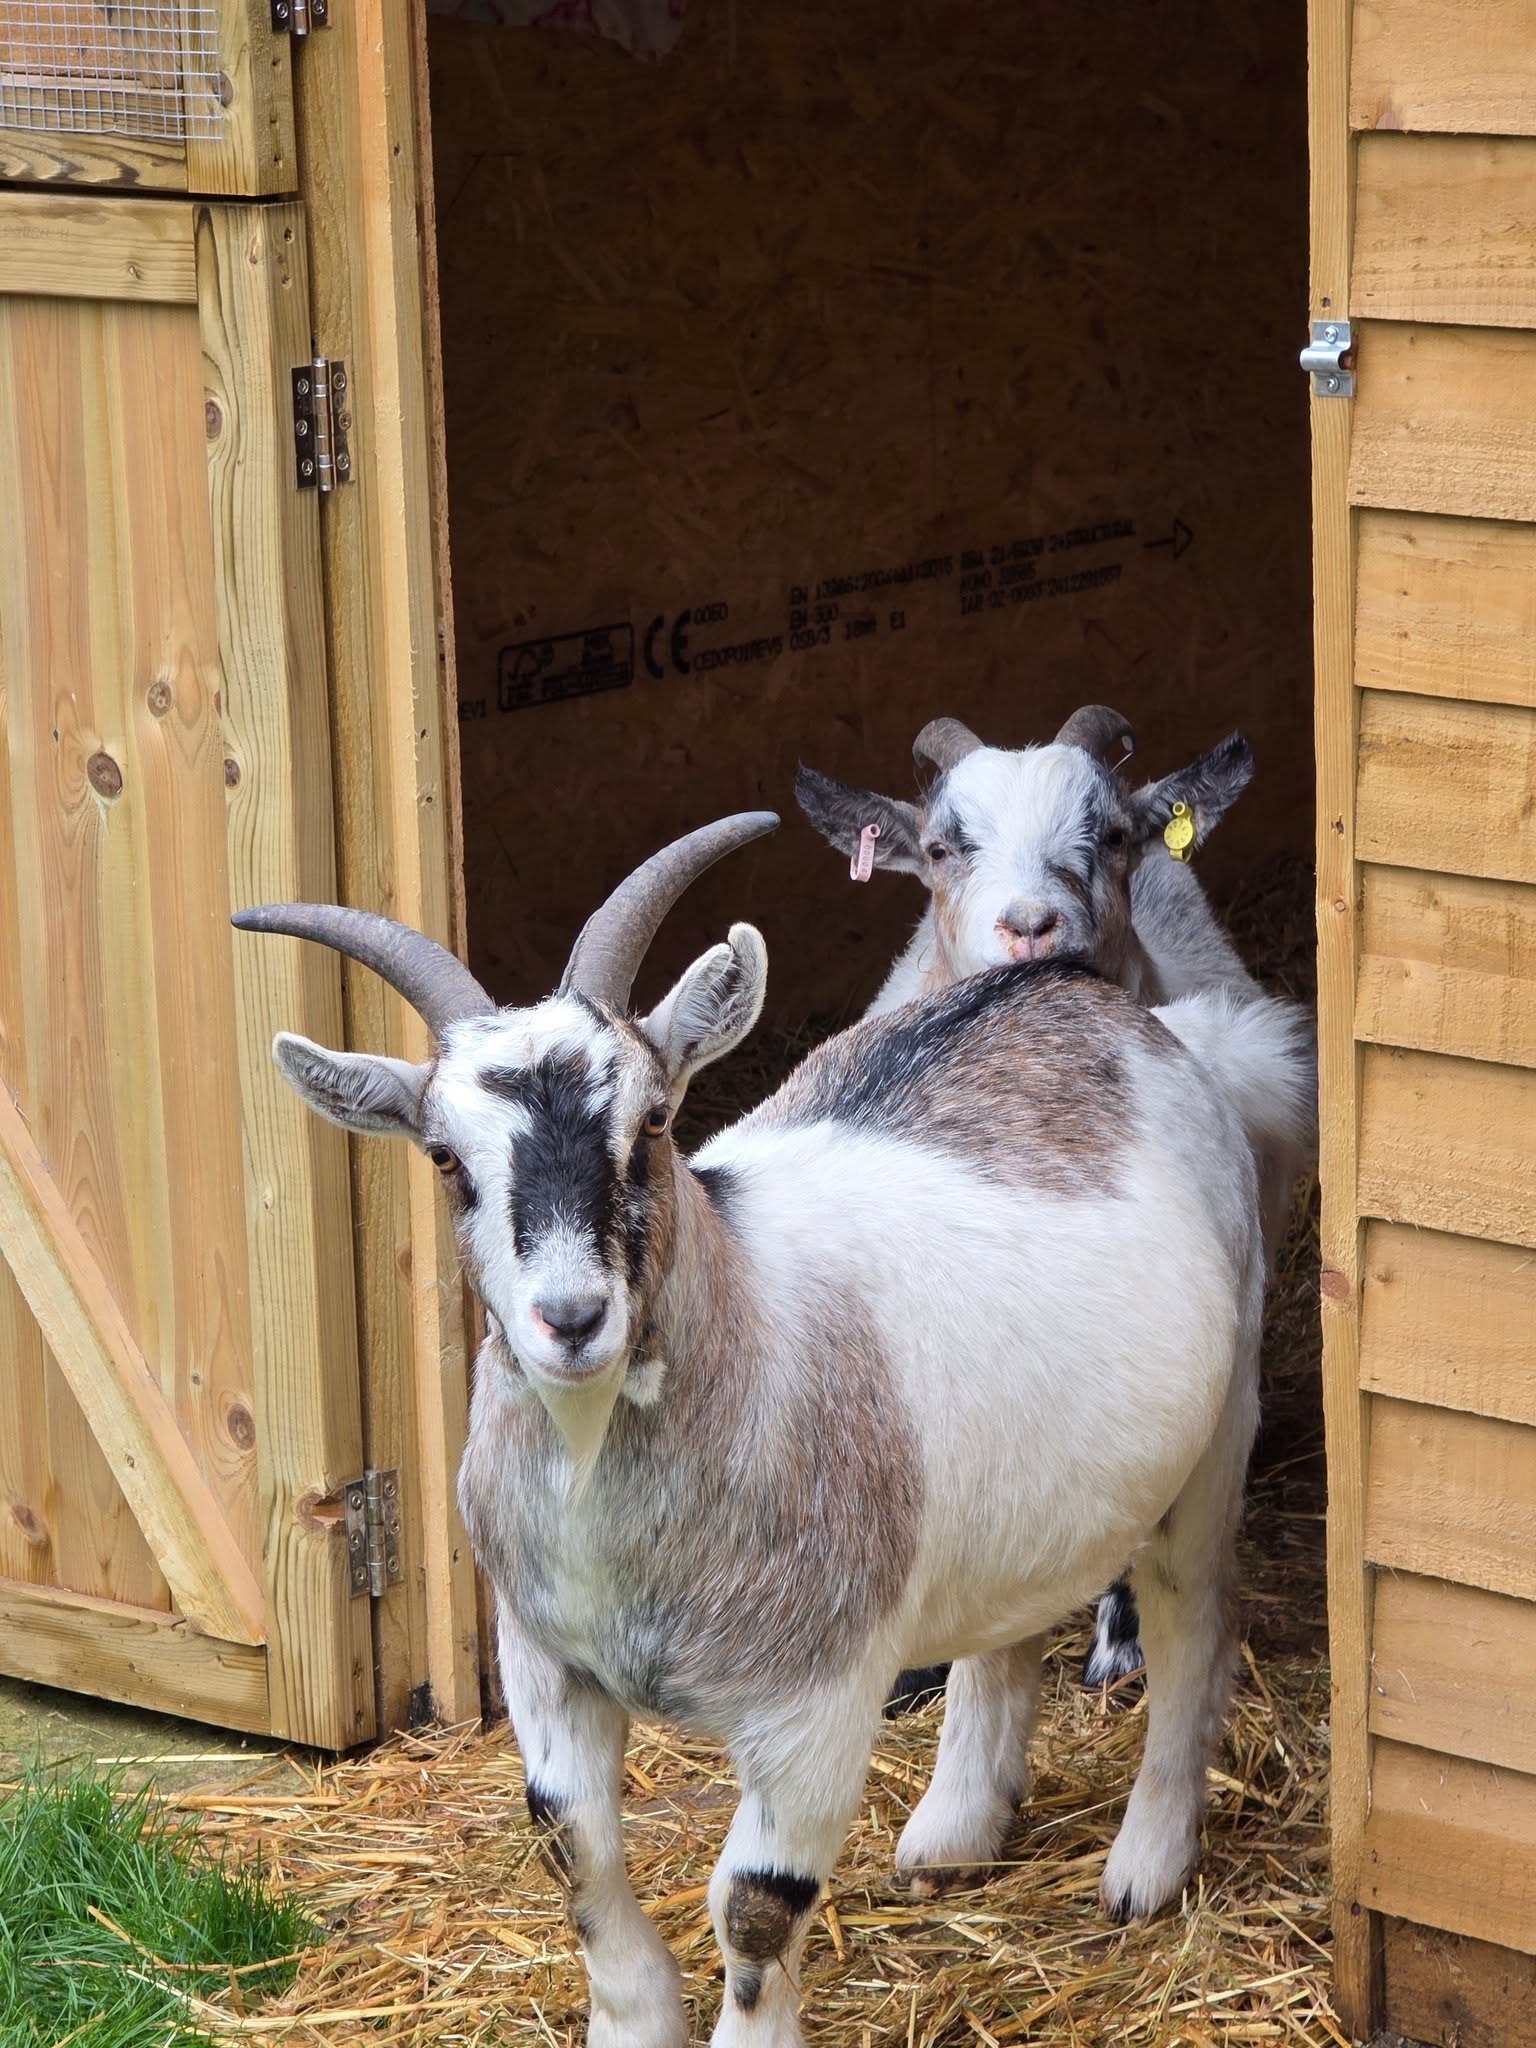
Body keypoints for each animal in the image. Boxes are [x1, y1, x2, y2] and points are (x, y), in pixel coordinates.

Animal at [236, 813, 1311, 2047]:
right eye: (446, 1158)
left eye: (653, 1120)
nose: (572, 1319)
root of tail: (1090, 1000)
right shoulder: (542, 1658)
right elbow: (573, 1848)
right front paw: (632, 2021)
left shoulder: (818, 1699)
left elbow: (756, 1904)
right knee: (1007, 1624)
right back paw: (953, 1831)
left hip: (1213, 1438)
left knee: (1196, 1624)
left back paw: (1146, 1864)